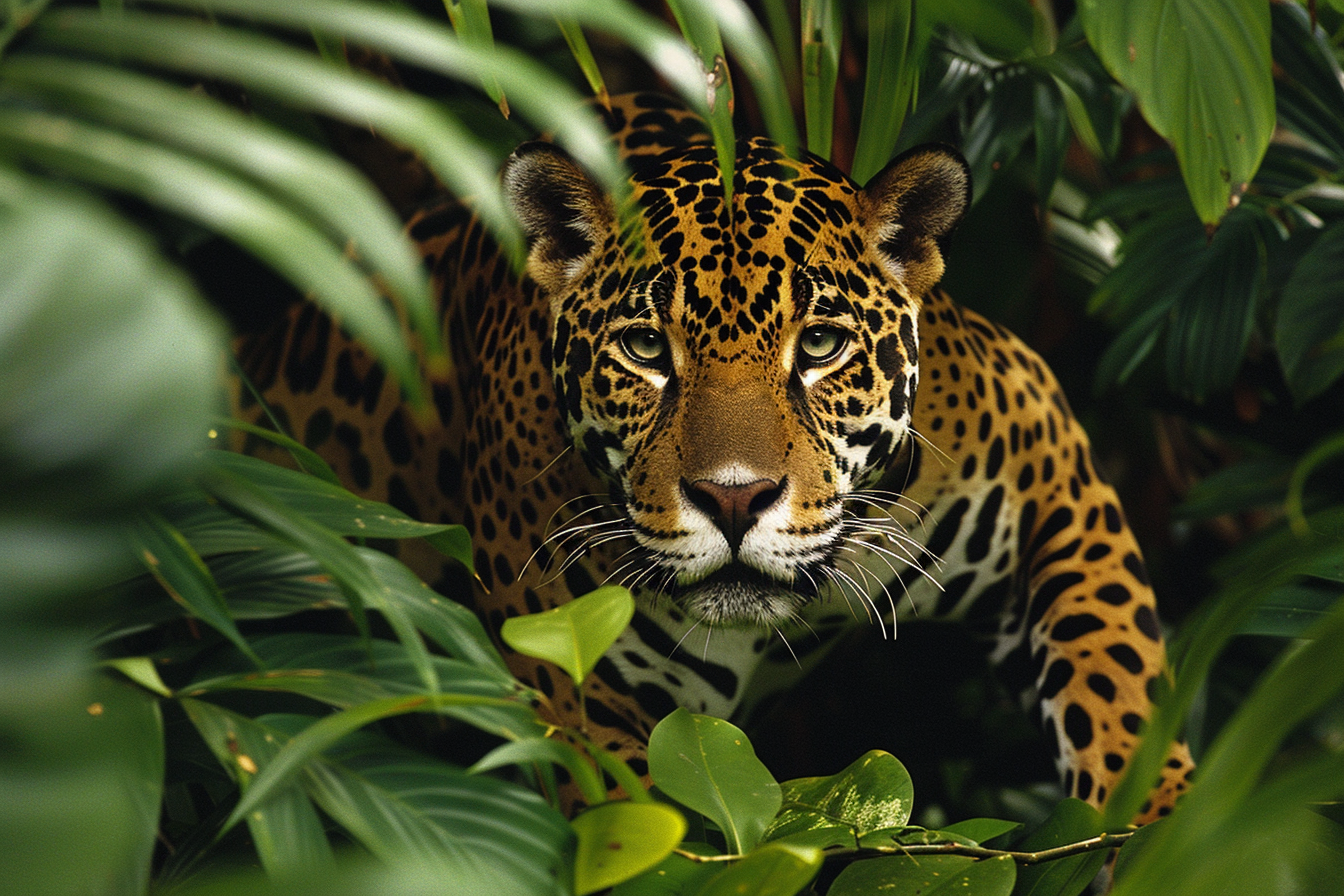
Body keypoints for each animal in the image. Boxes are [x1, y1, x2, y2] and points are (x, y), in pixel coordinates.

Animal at [235, 91, 1194, 823]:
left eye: (821, 346)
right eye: (646, 350)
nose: (735, 499)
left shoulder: (1048, 465)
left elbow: (1118, 677)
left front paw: (1164, 830)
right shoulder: (581, 700)